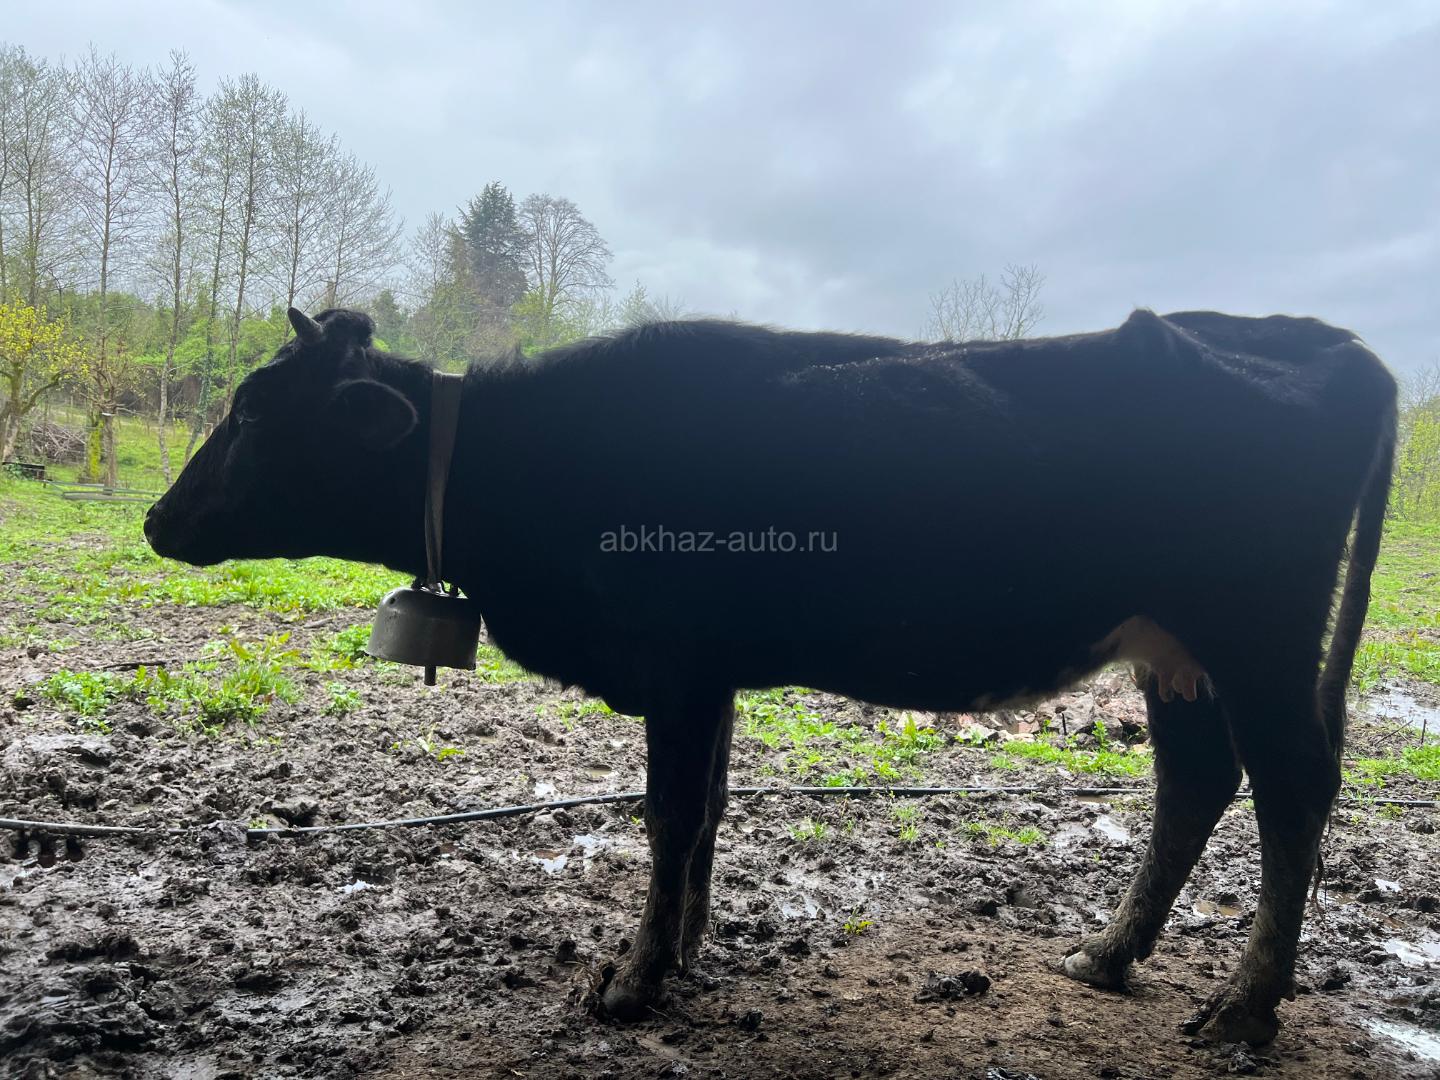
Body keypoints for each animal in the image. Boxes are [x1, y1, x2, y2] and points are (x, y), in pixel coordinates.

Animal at [145, 305, 1396, 1045]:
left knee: (1291, 790)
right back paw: (1107, 956)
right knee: (1196, 784)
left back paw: (1243, 1007)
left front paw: (632, 981)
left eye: (253, 411)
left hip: (1257, 634)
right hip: (1174, 653)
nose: (158, 519)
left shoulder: (676, 664)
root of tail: (1329, 340)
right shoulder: (713, 679)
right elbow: (701, 815)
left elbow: (667, 815)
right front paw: (682, 951)